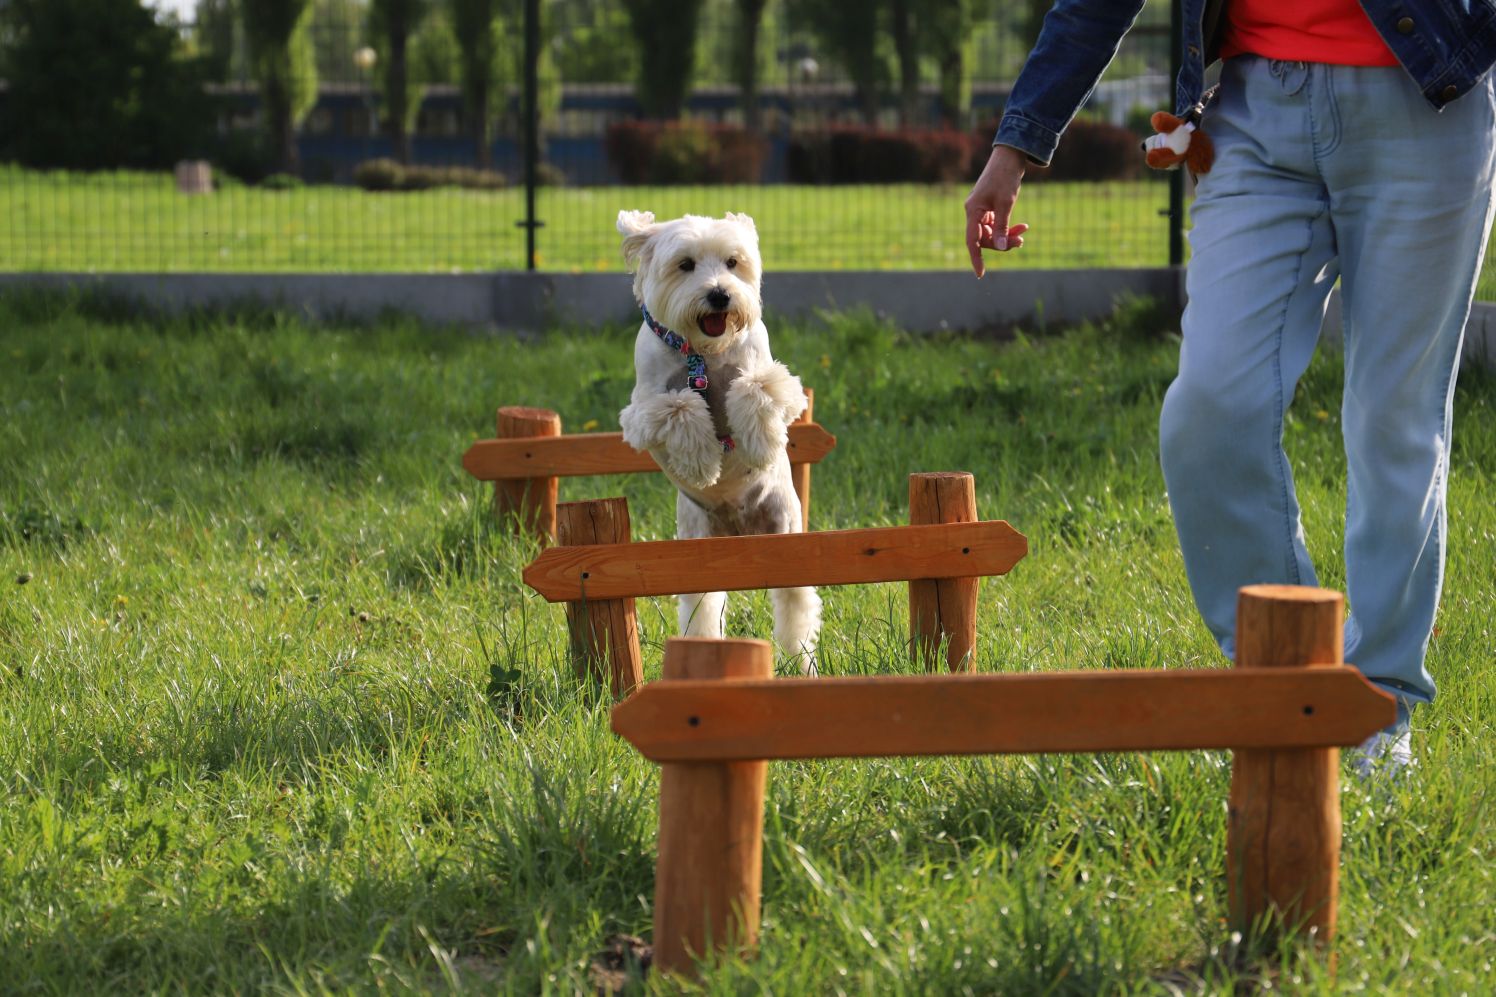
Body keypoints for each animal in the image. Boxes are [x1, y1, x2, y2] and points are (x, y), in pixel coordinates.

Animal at [616, 208, 825, 667]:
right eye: (685, 264)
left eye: (733, 262)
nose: (719, 295)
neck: (704, 353)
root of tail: (740, 532)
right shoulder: (643, 410)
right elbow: (681, 406)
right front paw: (701, 462)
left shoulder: (777, 381)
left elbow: (754, 387)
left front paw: (761, 446)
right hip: (699, 553)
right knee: (704, 608)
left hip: (787, 538)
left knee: (796, 608)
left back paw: (801, 661)